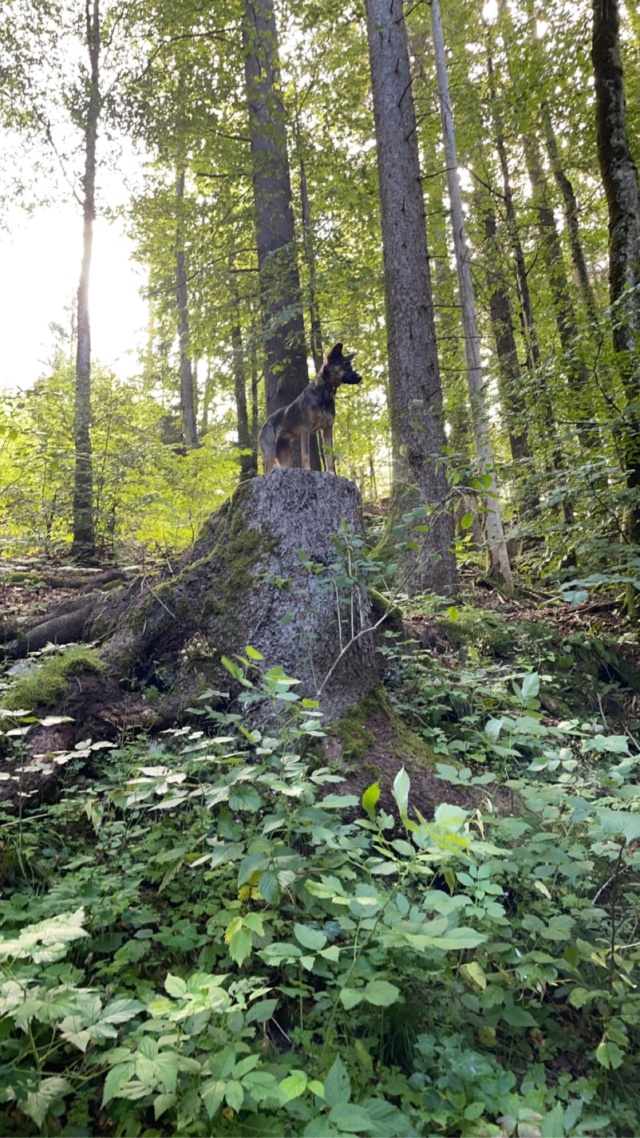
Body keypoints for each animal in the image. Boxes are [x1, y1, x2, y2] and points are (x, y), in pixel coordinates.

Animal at [257, 341, 359, 475]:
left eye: (350, 366)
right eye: (345, 365)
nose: (360, 377)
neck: (324, 393)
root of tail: (264, 424)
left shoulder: (327, 430)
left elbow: (329, 457)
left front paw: (331, 472)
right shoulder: (306, 428)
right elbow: (305, 454)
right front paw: (307, 469)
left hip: (286, 456)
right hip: (270, 452)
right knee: (267, 470)